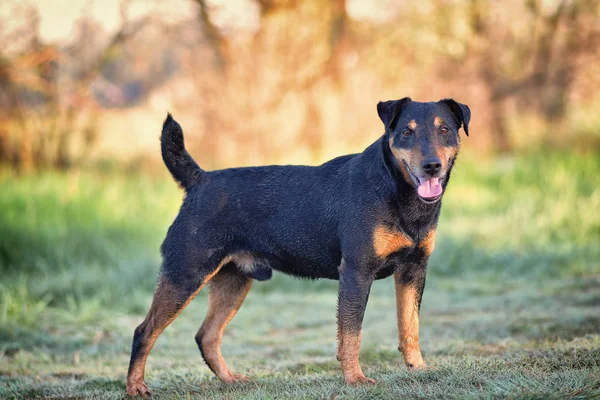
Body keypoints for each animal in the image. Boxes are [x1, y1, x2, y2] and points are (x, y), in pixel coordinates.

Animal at [129, 97, 472, 396]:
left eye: (445, 129)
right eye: (406, 132)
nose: (431, 166)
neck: (395, 188)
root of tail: (199, 181)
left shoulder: (414, 271)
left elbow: (410, 327)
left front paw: (419, 369)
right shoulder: (357, 272)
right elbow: (352, 333)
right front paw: (355, 379)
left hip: (233, 281)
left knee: (207, 335)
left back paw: (231, 380)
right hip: (186, 274)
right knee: (144, 331)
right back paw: (136, 387)